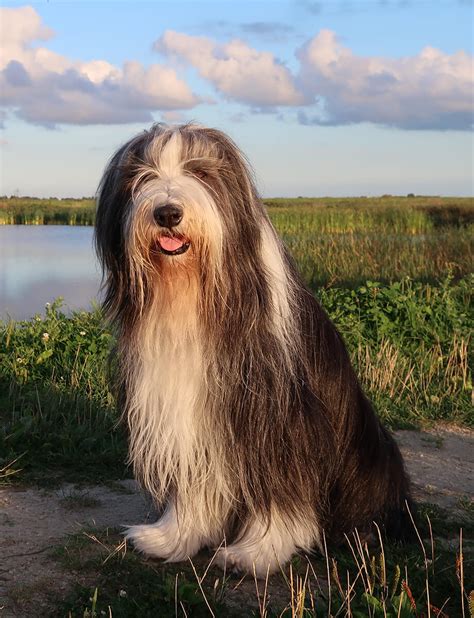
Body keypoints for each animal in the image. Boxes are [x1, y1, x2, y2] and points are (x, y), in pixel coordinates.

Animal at [95, 122, 412, 576]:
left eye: (201, 172)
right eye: (141, 176)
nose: (167, 213)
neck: (197, 298)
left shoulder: (280, 418)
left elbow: (281, 490)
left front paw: (258, 551)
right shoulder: (185, 412)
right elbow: (193, 483)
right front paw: (172, 537)